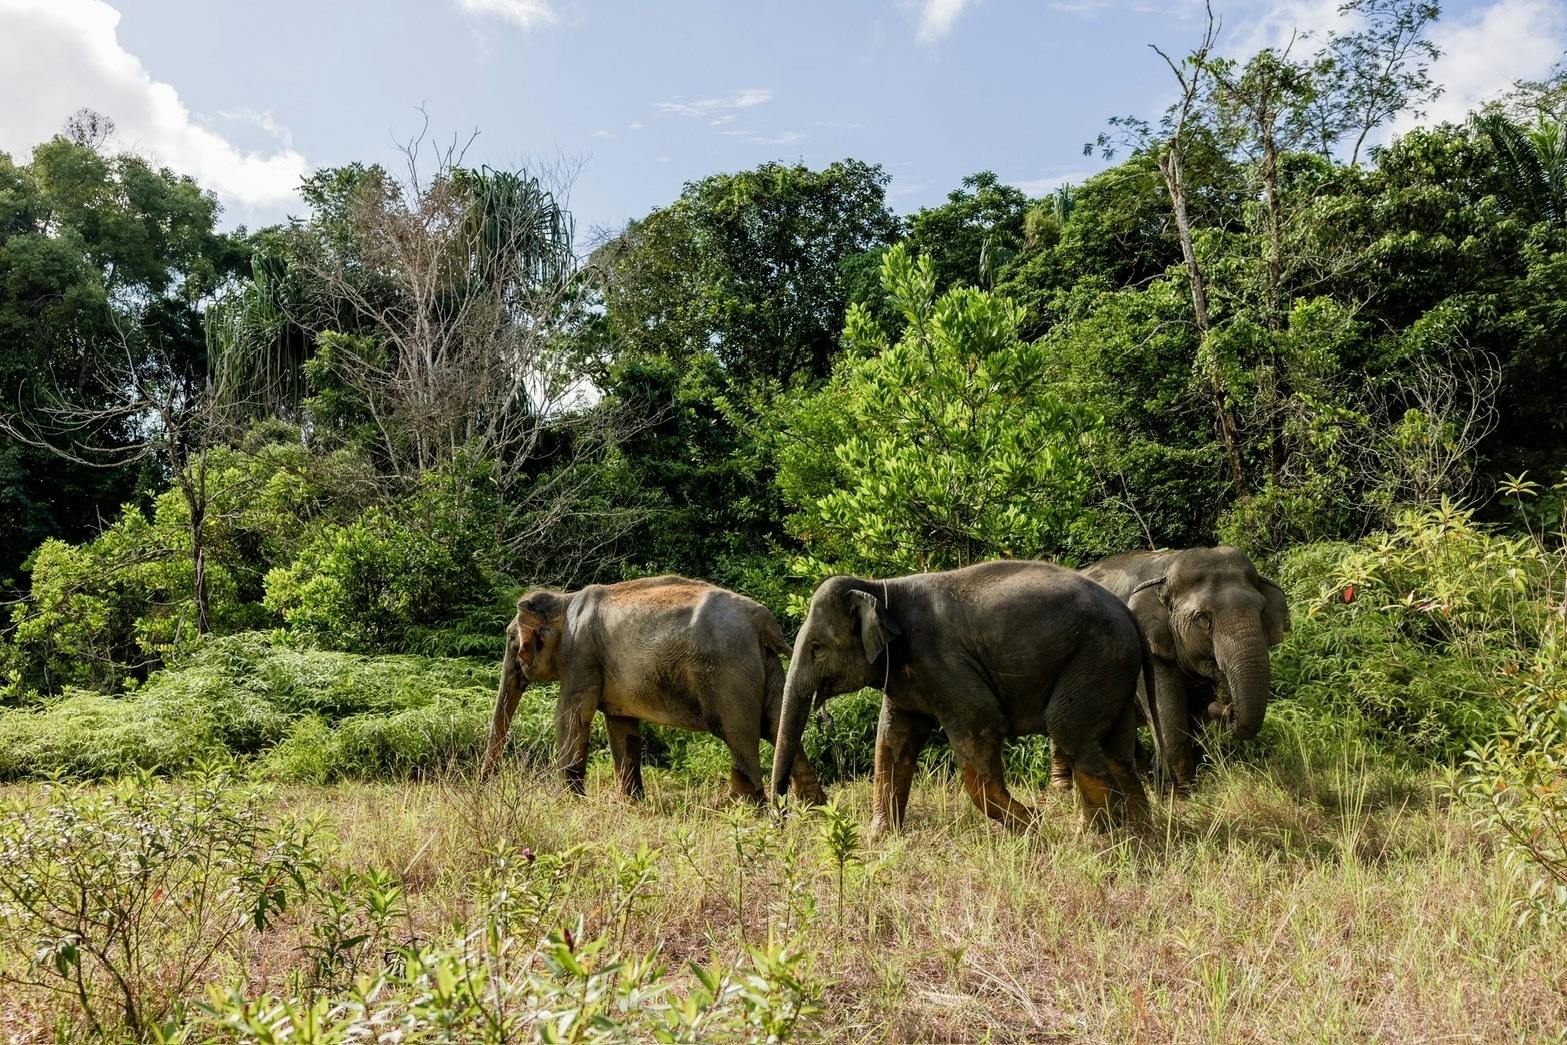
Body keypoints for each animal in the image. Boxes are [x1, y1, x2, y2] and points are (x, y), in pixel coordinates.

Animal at [482, 574, 825, 804]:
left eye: (511, 641)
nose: (485, 784)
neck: (564, 599)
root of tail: (763, 621)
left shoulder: (581, 656)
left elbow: (571, 716)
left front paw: (569, 803)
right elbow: (622, 728)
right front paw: (632, 803)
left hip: (730, 675)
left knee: (740, 735)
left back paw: (745, 808)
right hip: (766, 667)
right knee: (777, 725)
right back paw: (812, 807)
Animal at [770, 560, 1160, 835]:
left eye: (817, 648)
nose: (781, 820)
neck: (880, 588)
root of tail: (1128, 614)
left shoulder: (943, 664)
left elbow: (981, 727)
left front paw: (1033, 825)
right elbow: (892, 741)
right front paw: (879, 839)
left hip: (1095, 659)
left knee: (1071, 732)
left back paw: (1095, 840)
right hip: (1112, 671)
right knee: (1117, 750)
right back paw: (1140, 836)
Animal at [1053, 545, 1291, 792]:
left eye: (1262, 611)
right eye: (1202, 618)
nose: (1225, 705)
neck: (1168, 566)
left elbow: (1194, 711)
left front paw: (1193, 781)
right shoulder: (1144, 645)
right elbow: (1168, 709)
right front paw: (1182, 790)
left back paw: (1143, 780)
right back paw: (1062, 788)